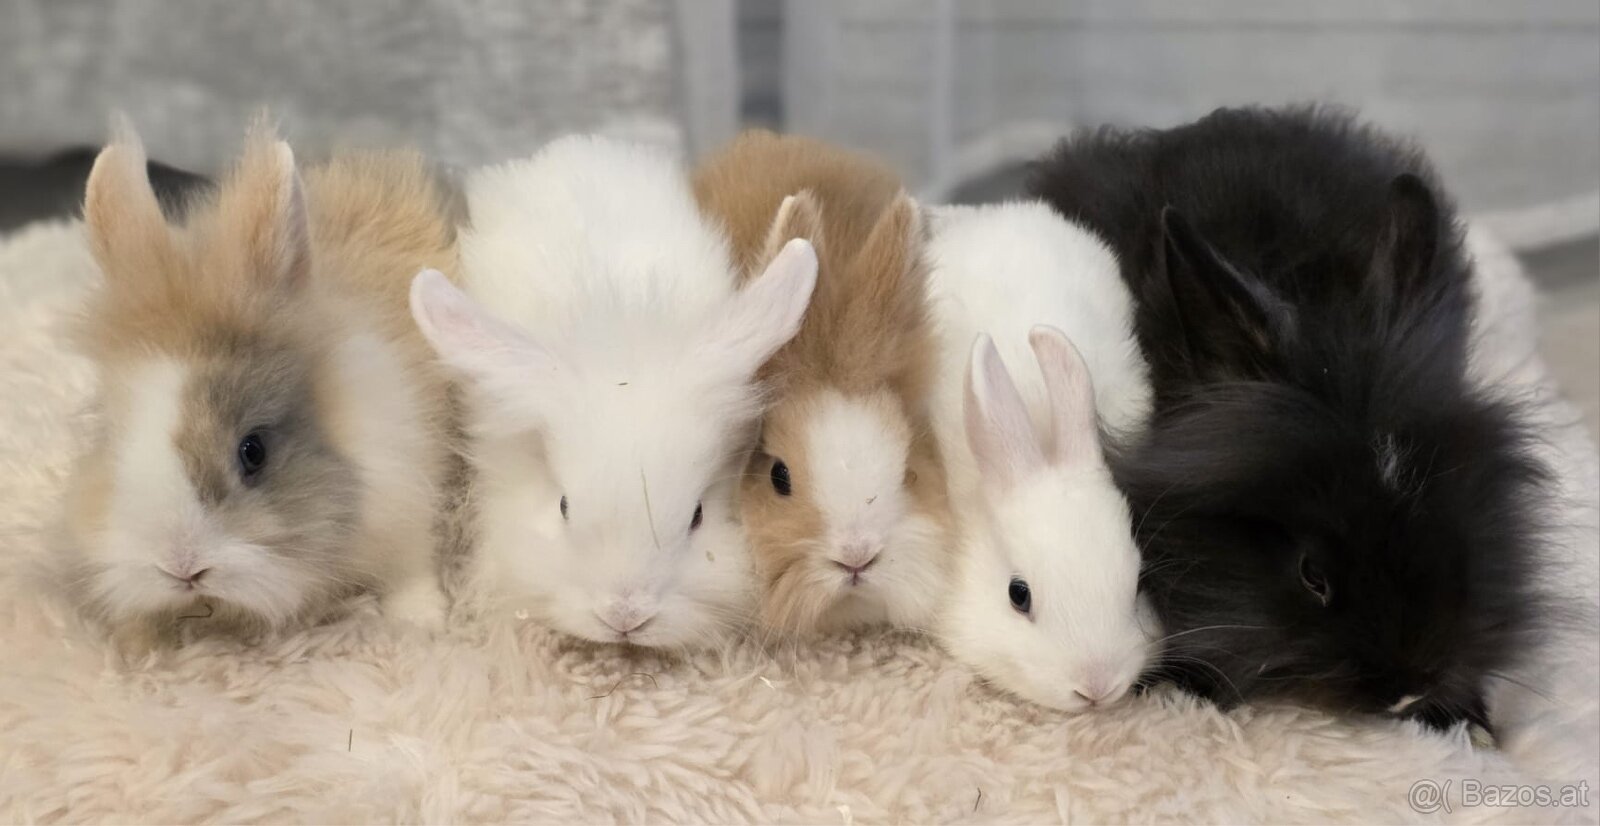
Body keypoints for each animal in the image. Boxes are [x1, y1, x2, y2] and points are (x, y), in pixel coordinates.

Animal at [61, 120, 459, 648]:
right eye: (111, 441)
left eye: (254, 451)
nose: (182, 569)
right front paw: (134, 639)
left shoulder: (405, 489)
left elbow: (409, 567)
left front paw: (421, 623)